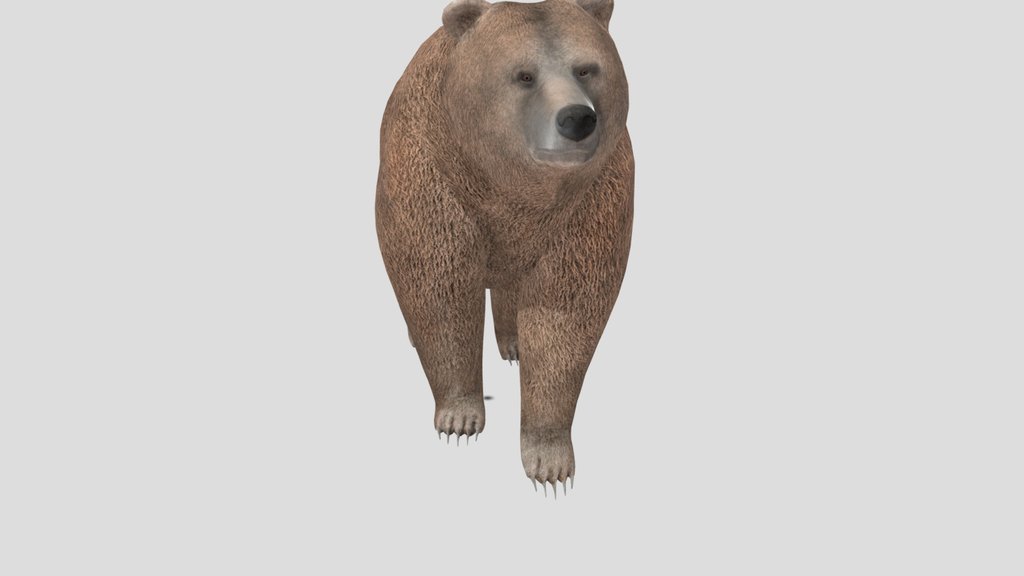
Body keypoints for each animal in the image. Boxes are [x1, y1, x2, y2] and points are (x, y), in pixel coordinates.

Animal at [375, 0, 632, 496]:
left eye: (586, 68)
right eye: (524, 75)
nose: (577, 118)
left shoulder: (593, 198)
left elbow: (564, 313)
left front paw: (549, 462)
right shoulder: (430, 167)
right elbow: (441, 285)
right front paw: (459, 416)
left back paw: (512, 344)